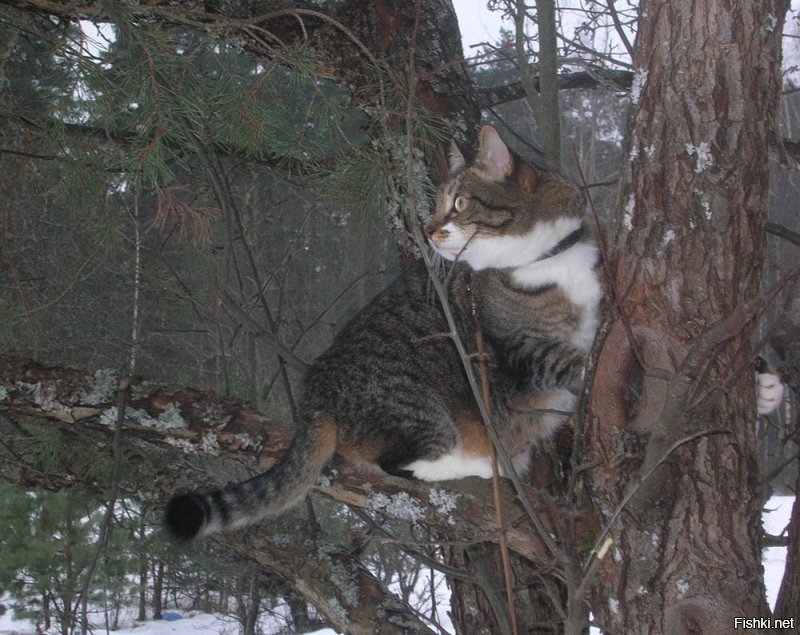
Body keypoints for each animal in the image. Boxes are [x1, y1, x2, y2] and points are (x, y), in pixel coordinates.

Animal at [164, 125, 600, 540]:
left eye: (459, 203)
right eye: (437, 204)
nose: (427, 229)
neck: (548, 260)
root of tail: (315, 394)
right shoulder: (519, 349)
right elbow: (565, 360)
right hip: (421, 409)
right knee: (401, 462)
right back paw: (475, 467)